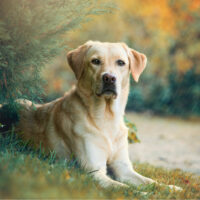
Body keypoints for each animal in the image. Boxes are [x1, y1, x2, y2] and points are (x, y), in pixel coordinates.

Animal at [1, 40, 182, 191]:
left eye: (121, 62)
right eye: (95, 61)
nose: (109, 78)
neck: (106, 118)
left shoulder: (123, 168)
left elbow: (149, 181)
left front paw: (170, 188)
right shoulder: (93, 171)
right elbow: (125, 188)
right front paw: (142, 193)